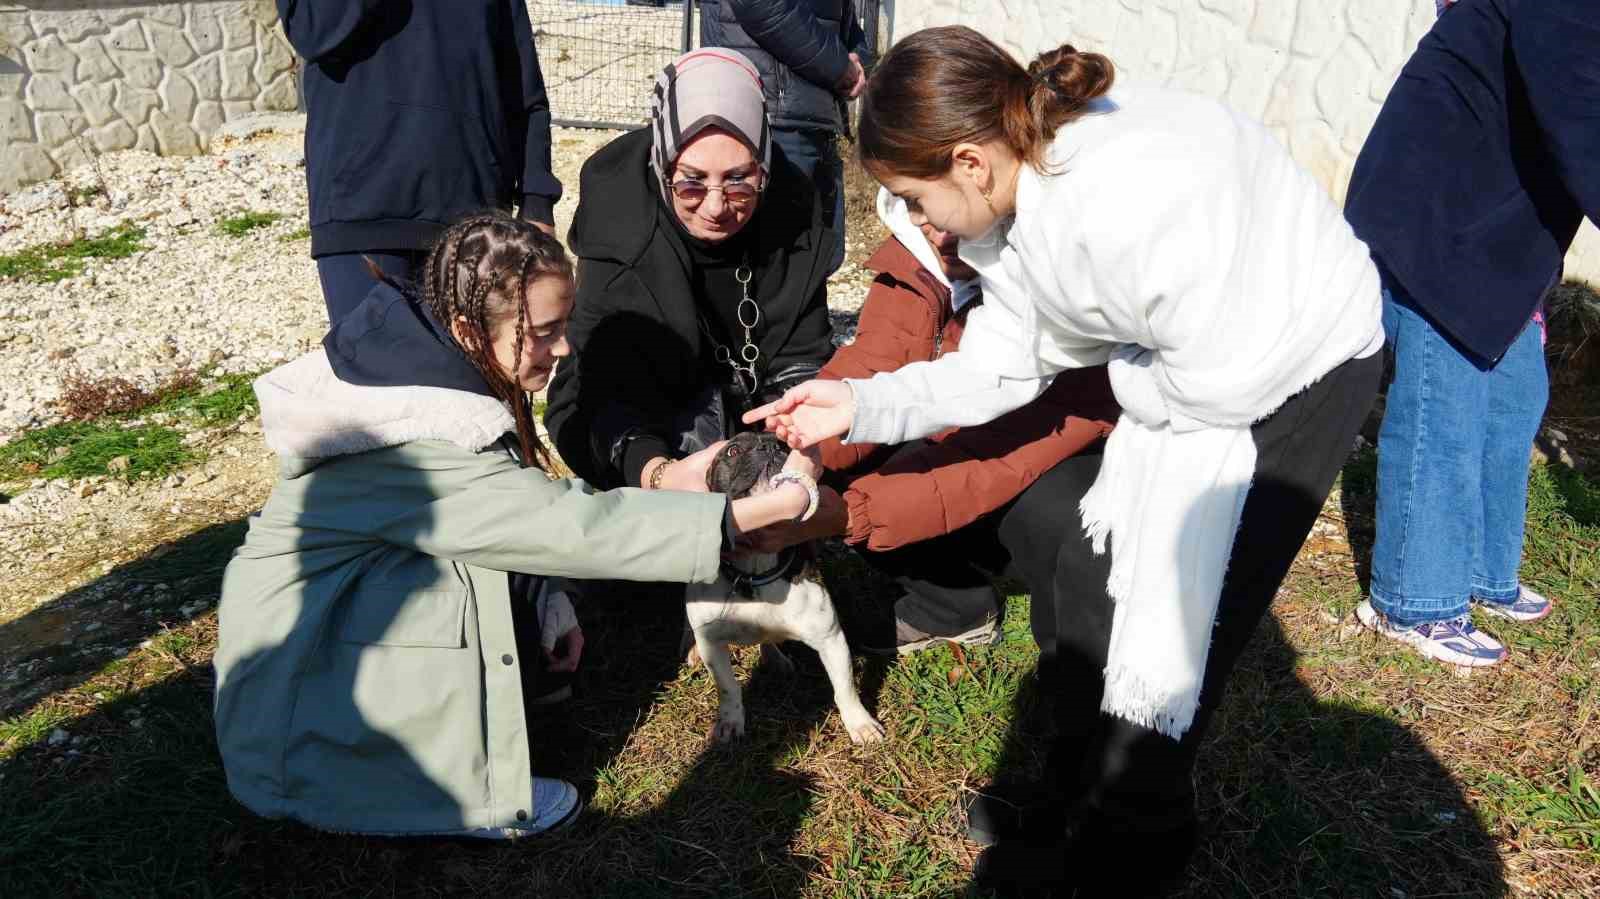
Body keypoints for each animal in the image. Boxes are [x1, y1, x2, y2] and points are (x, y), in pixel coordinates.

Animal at [688, 428, 889, 742]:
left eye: (785, 445)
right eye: (732, 451)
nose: (770, 447)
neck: (756, 569)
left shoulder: (831, 639)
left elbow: (845, 688)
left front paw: (860, 723)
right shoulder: (714, 645)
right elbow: (728, 688)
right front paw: (730, 721)